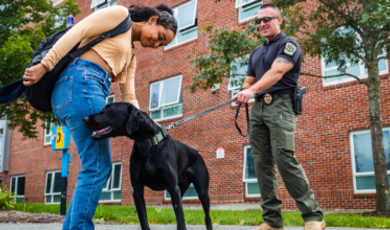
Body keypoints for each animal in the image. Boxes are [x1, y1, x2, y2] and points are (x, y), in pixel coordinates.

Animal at [83, 102, 213, 230]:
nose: (84, 119)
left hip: (201, 192)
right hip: (180, 190)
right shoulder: (137, 191)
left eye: (108, 109)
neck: (148, 145)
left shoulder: (172, 188)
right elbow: (143, 219)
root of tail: (195, 152)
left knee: (206, 216)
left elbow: (181, 221)